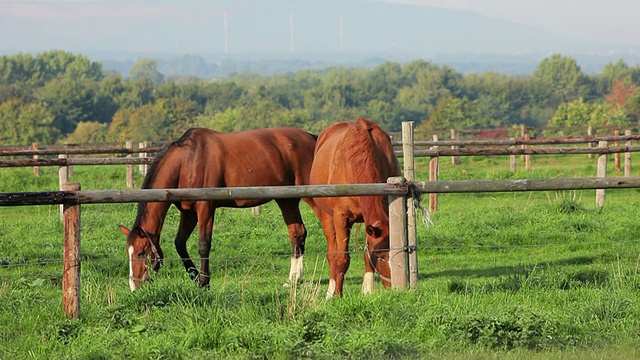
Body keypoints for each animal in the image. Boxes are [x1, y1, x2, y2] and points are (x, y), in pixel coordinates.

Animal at [117, 128, 320, 292]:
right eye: (128, 253)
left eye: (141, 253)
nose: (134, 286)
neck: (187, 161)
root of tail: (313, 138)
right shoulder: (188, 213)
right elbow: (180, 243)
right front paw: (195, 277)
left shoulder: (206, 208)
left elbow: (203, 245)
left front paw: (204, 282)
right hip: (287, 200)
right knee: (297, 234)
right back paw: (293, 280)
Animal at [310, 118, 400, 298]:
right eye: (380, 256)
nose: (392, 286)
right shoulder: (341, 218)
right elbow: (342, 259)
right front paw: (337, 294)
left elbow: (366, 253)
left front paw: (368, 289)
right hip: (327, 217)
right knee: (332, 253)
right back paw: (330, 290)